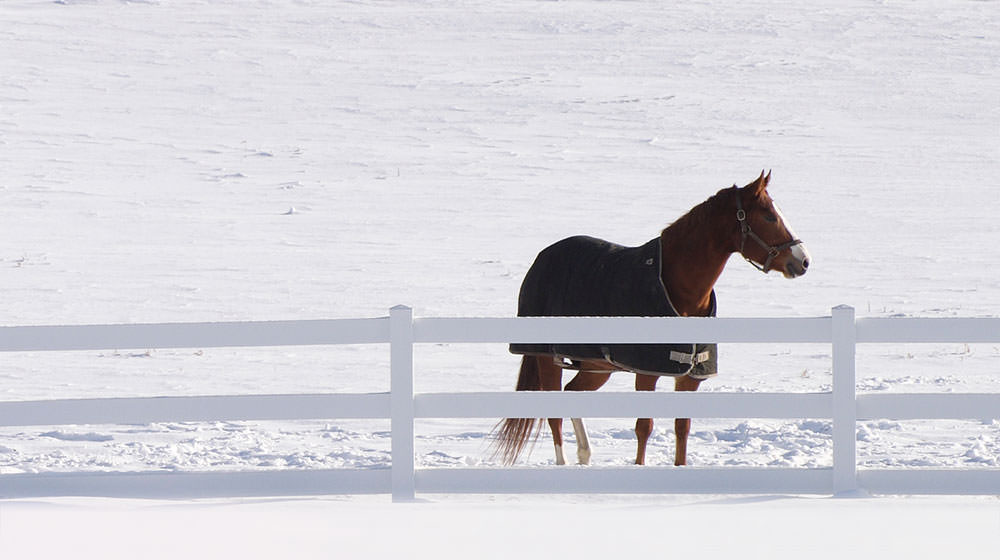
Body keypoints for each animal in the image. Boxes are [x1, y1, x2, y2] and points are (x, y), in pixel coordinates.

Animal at [493, 170, 810, 466]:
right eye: (769, 215)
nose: (803, 261)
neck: (678, 286)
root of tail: (543, 257)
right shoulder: (647, 372)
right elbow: (644, 426)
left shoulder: (690, 376)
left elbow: (682, 427)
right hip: (546, 358)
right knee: (555, 414)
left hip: (597, 366)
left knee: (572, 394)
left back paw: (585, 455)